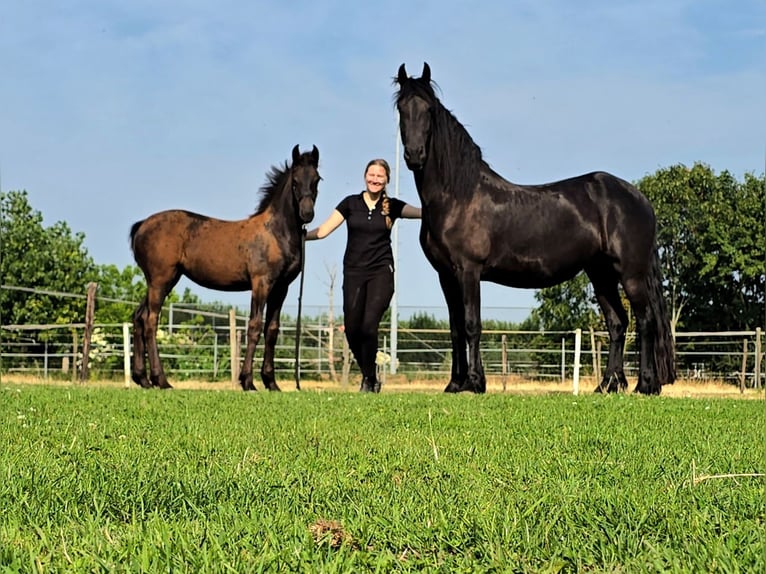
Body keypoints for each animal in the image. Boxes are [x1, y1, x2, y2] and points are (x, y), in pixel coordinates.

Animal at [129, 144, 321, 391]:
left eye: (316, 179)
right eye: (295, 181)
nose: (307, 213)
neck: (276, 233)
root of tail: (141, 225)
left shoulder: (281, 288)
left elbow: (272, 330)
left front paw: (271, 382)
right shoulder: (261, 283)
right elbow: (254, 326)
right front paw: (247, 381)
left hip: (159, 281)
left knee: (139, 316)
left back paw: (142, 378)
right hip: (161, 280)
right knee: (151, 320)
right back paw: (161, 380)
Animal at [395, 63, 675, 395]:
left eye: (428, 109)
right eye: (401, 108)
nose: (414, 155)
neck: (457, 196)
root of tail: (639, 198)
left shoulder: (468, 271)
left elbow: (472, 325)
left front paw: (475, 382)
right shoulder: (446, 276)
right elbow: (455, 329)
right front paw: (455, 383)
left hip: (630, 274)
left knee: (645, 322)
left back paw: (645, 385)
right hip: (601, 274)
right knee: (617, 323)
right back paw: (607, 385)